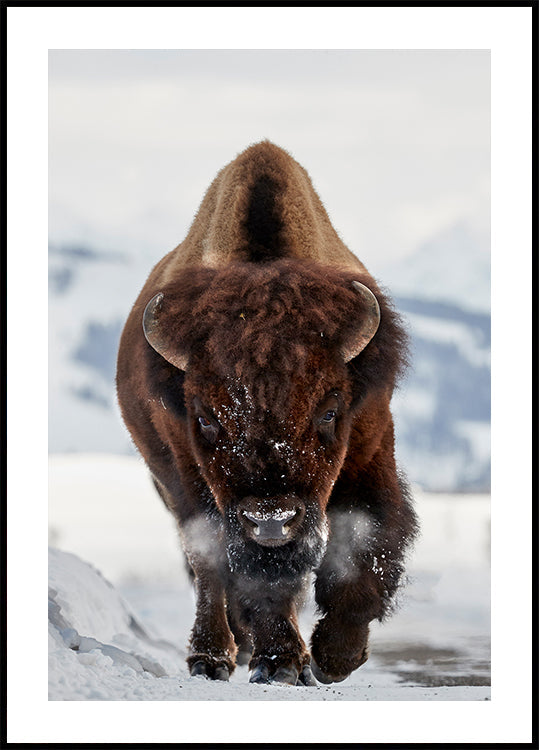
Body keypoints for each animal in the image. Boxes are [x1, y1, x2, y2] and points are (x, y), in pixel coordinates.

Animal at [116, 141, 418, 686]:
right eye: (205, 418)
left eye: (330, 410)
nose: (271, 521)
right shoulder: (194, 479)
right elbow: (243, 574)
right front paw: (280, 662)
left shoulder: (369, 449)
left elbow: (369, 540)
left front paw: (334, 657)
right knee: (208, 568)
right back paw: (213, 657)